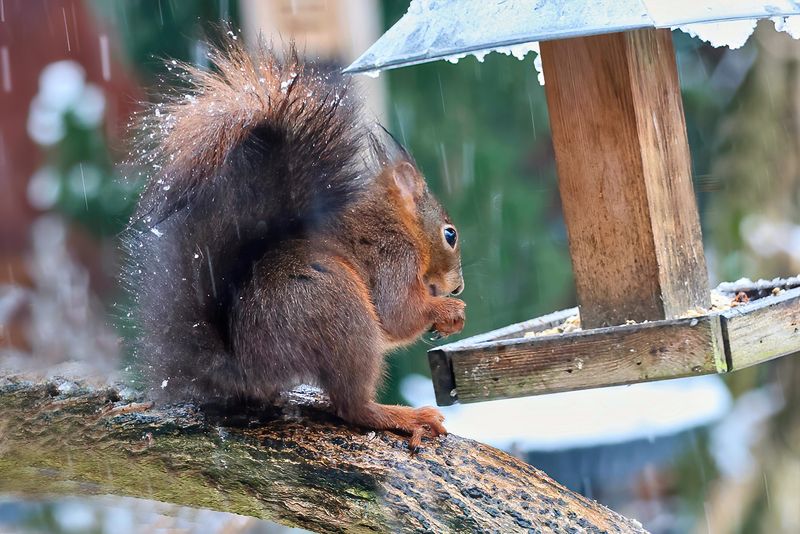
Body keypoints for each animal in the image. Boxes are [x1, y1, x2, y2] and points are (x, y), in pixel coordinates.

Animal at [127, 40, 466, 452]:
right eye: (450, 234)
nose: (459, 287)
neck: (402, 226)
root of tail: (247, 368)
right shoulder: (393, 258)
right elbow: (397, 313)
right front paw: (448, 310)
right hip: (341, 313)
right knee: (351, 406)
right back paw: (403, 416)